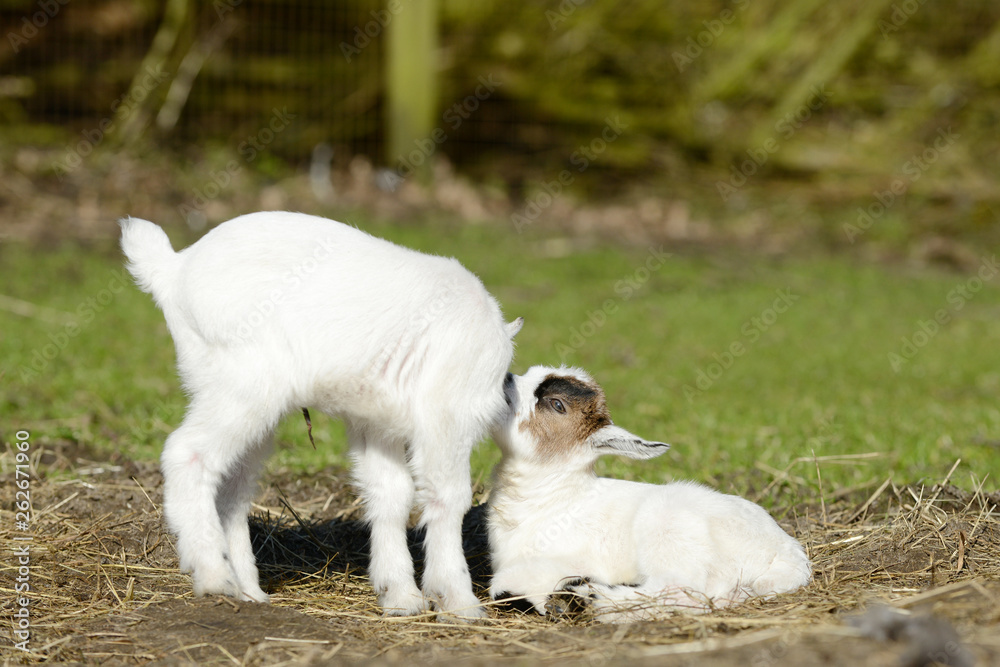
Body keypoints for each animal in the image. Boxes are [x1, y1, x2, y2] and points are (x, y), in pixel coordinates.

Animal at [120, 211, 522, 619]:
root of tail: (173, 269)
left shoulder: (376, 420)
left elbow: (390, 493)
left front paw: (400, 595)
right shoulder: (447, 414)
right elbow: (448, 498)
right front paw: (458, 600)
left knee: (232, 490)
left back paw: (247, 589)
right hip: (244, 384)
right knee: (186, 453)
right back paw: (213, 573)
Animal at [488, 366, 812, 622]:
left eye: (556, 404)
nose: (505, 377)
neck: (552, 500)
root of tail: (787, 553)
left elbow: (505, 585)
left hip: (669, 527)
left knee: (678, 590)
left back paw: (586, 601)